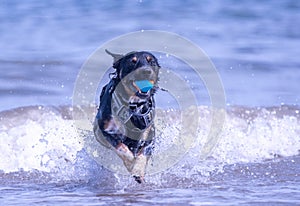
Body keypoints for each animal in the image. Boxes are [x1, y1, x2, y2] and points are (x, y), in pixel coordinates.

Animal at [93, 49, 159, 183]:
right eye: (132, 62)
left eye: (152, 62)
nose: (146, 71)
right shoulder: (105, 130)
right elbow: (120, 147)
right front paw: (130, 163)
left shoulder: (149, 131)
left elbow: (144, 152)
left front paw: (138, 170)